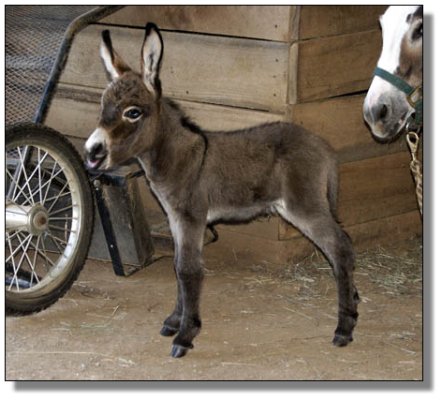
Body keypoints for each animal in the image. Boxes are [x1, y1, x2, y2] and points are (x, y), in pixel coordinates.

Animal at [84, 23, 360, 358]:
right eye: (103, 107)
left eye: (133, 113)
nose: (92, 152)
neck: (182, 158)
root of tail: (323, 146)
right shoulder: (176, 219)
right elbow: (177, 265)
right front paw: (175, 320)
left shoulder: (191, 217)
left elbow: (188, 270)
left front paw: (185, 334)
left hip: (304, 206)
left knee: (340, 249)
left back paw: (344, 328)